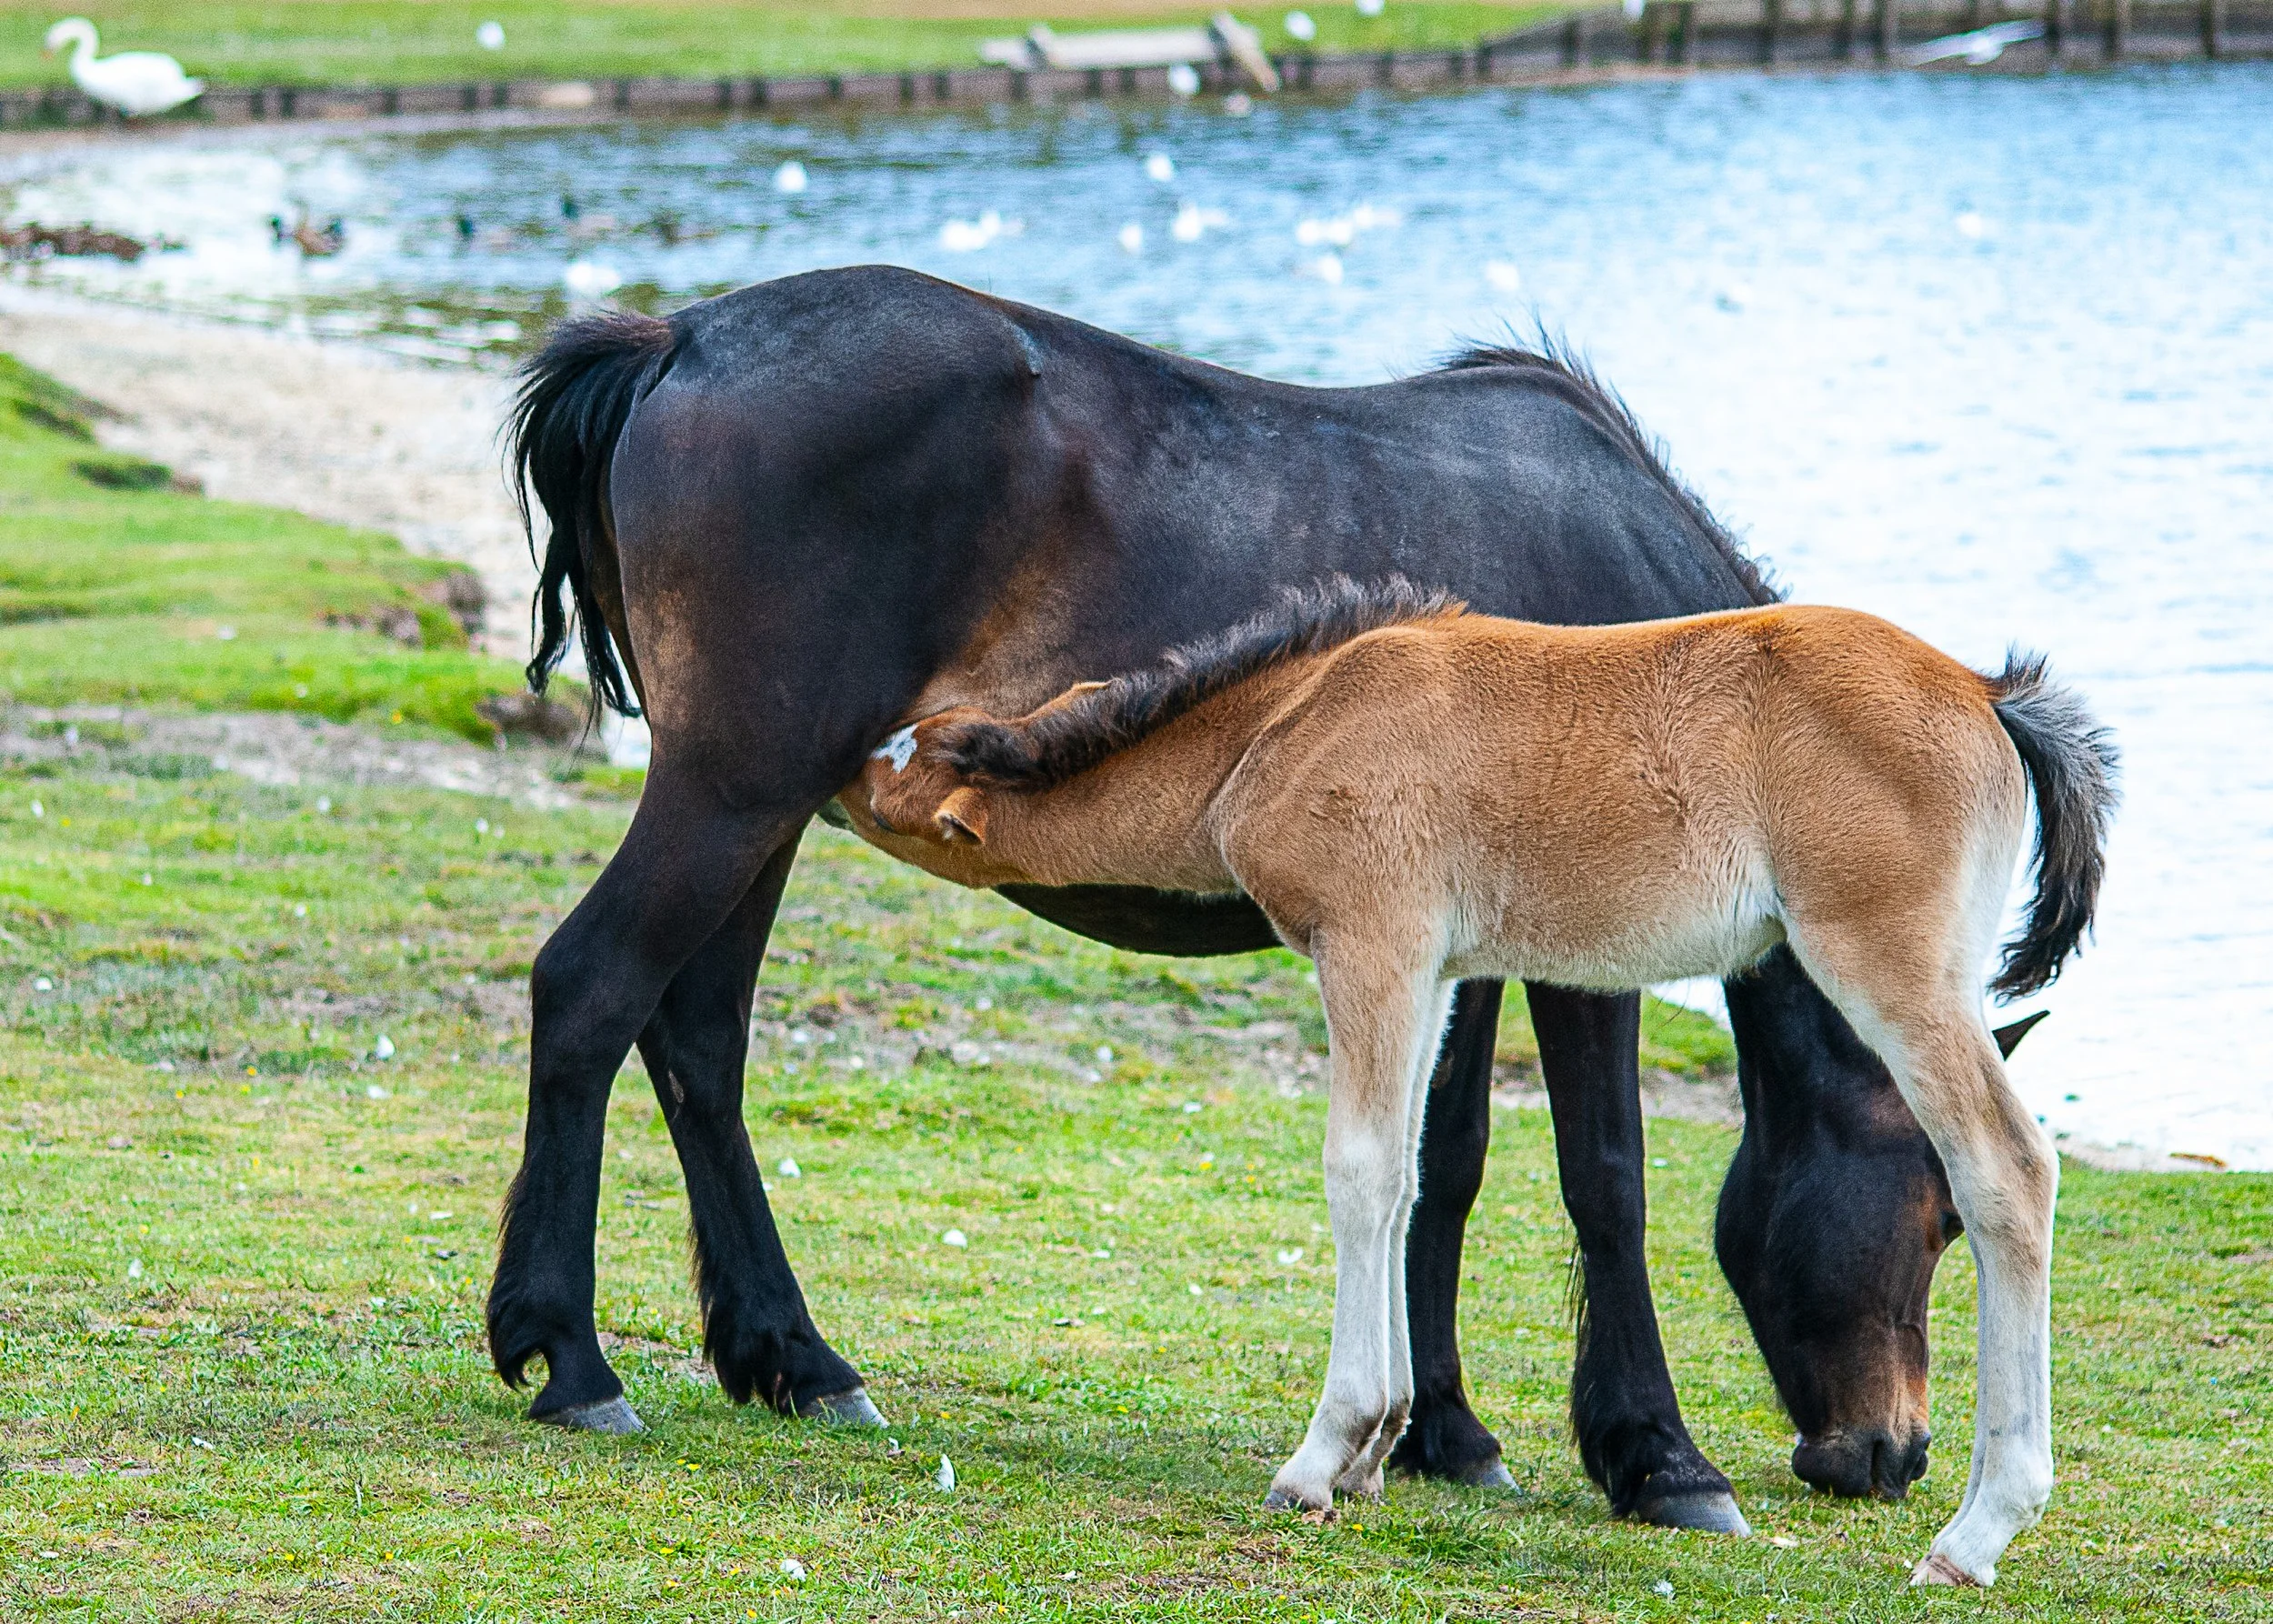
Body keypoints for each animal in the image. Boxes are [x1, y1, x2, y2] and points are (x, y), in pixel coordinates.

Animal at [494, 265, 1987, 1532]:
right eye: (1939, 1211)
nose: (1889, 1453)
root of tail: (679, 339)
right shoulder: (1578, 953)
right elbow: (1602, 1177)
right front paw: (1658, 1456)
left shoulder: (1446, 939)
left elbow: (1443, 1166)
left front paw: (1446, 1434)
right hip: (732, 789)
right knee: (590, 989)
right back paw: (569, 1356)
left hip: (767, 809)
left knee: (698, 1040)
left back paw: (796, 1359)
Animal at [849, 579, 2116, 1585]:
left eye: (896, 776)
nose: (840, 765)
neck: (1286, 720)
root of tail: (1985, 692)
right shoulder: (1436, 972)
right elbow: (1408, 1182)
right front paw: (1378, 1451)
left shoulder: (1372, 942)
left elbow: (1359, 1172)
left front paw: (1324, 1455)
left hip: (1888, 962)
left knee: (2007, 1169)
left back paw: (1975, 1533)